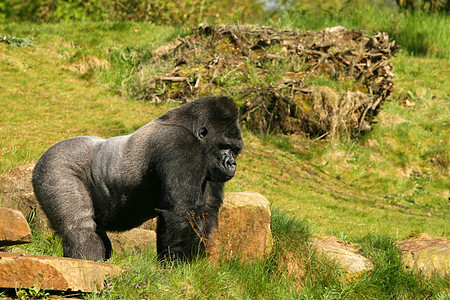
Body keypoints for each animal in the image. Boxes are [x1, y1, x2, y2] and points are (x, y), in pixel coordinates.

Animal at [31, 96, 243, 262]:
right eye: (224, 146)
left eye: (235, 150)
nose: (231, 163)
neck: (190, 127)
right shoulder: (180, 144)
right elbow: (179, 212)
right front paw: (176, 266)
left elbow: (205, 212)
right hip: (54, 166)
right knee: (79, 228)